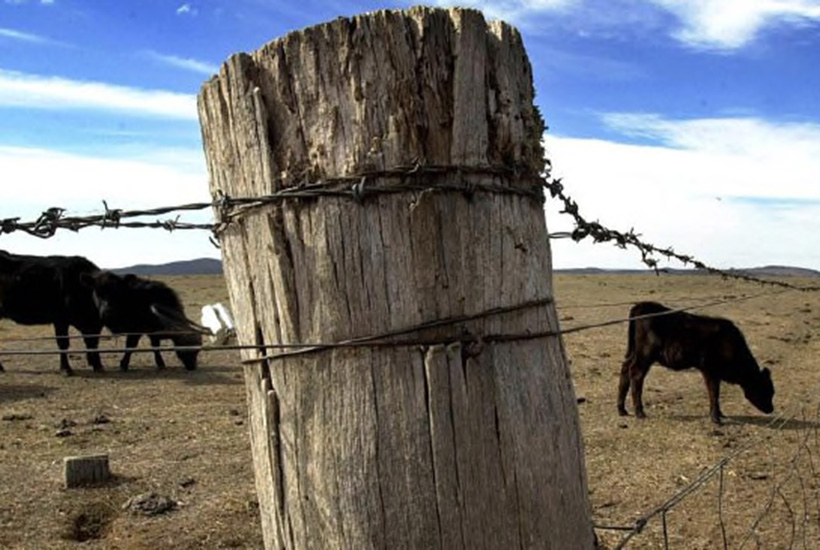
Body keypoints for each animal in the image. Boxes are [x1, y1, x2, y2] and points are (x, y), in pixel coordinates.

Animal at [620, 302, 776, 426]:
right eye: (765, 389)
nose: (771, 409)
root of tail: (641, 305)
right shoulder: (710, 370)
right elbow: (714, 393)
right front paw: (716, 419)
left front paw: (720, 414)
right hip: (645, 354)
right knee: (636, 374)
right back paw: (639, 412)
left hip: (634, 352)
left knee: (625, 369)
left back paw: (622, 410)